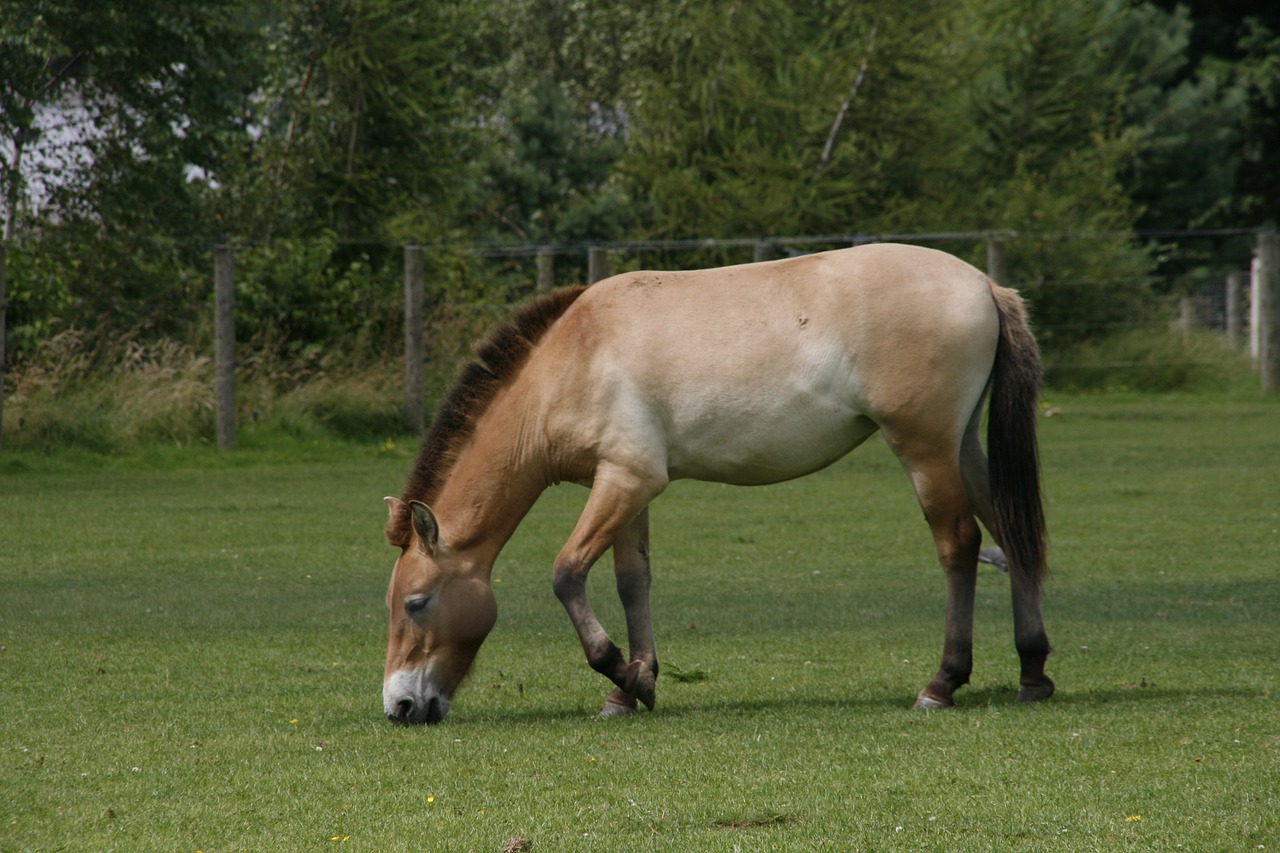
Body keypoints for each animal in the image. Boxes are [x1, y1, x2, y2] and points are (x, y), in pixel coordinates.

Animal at [376, 242, 1049, 722]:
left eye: (416, 602)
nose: (400, 706)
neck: (573, 358)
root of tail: (984, 285)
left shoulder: (628, 481)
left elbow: (567, 574)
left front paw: (621, 672)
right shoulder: (625, 485)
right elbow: (632, 581)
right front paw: (631, 690)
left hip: (926, 450)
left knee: (960, 545)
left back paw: (942, 683)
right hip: (963, 448)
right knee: (1011, 537)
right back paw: (1033, 672)